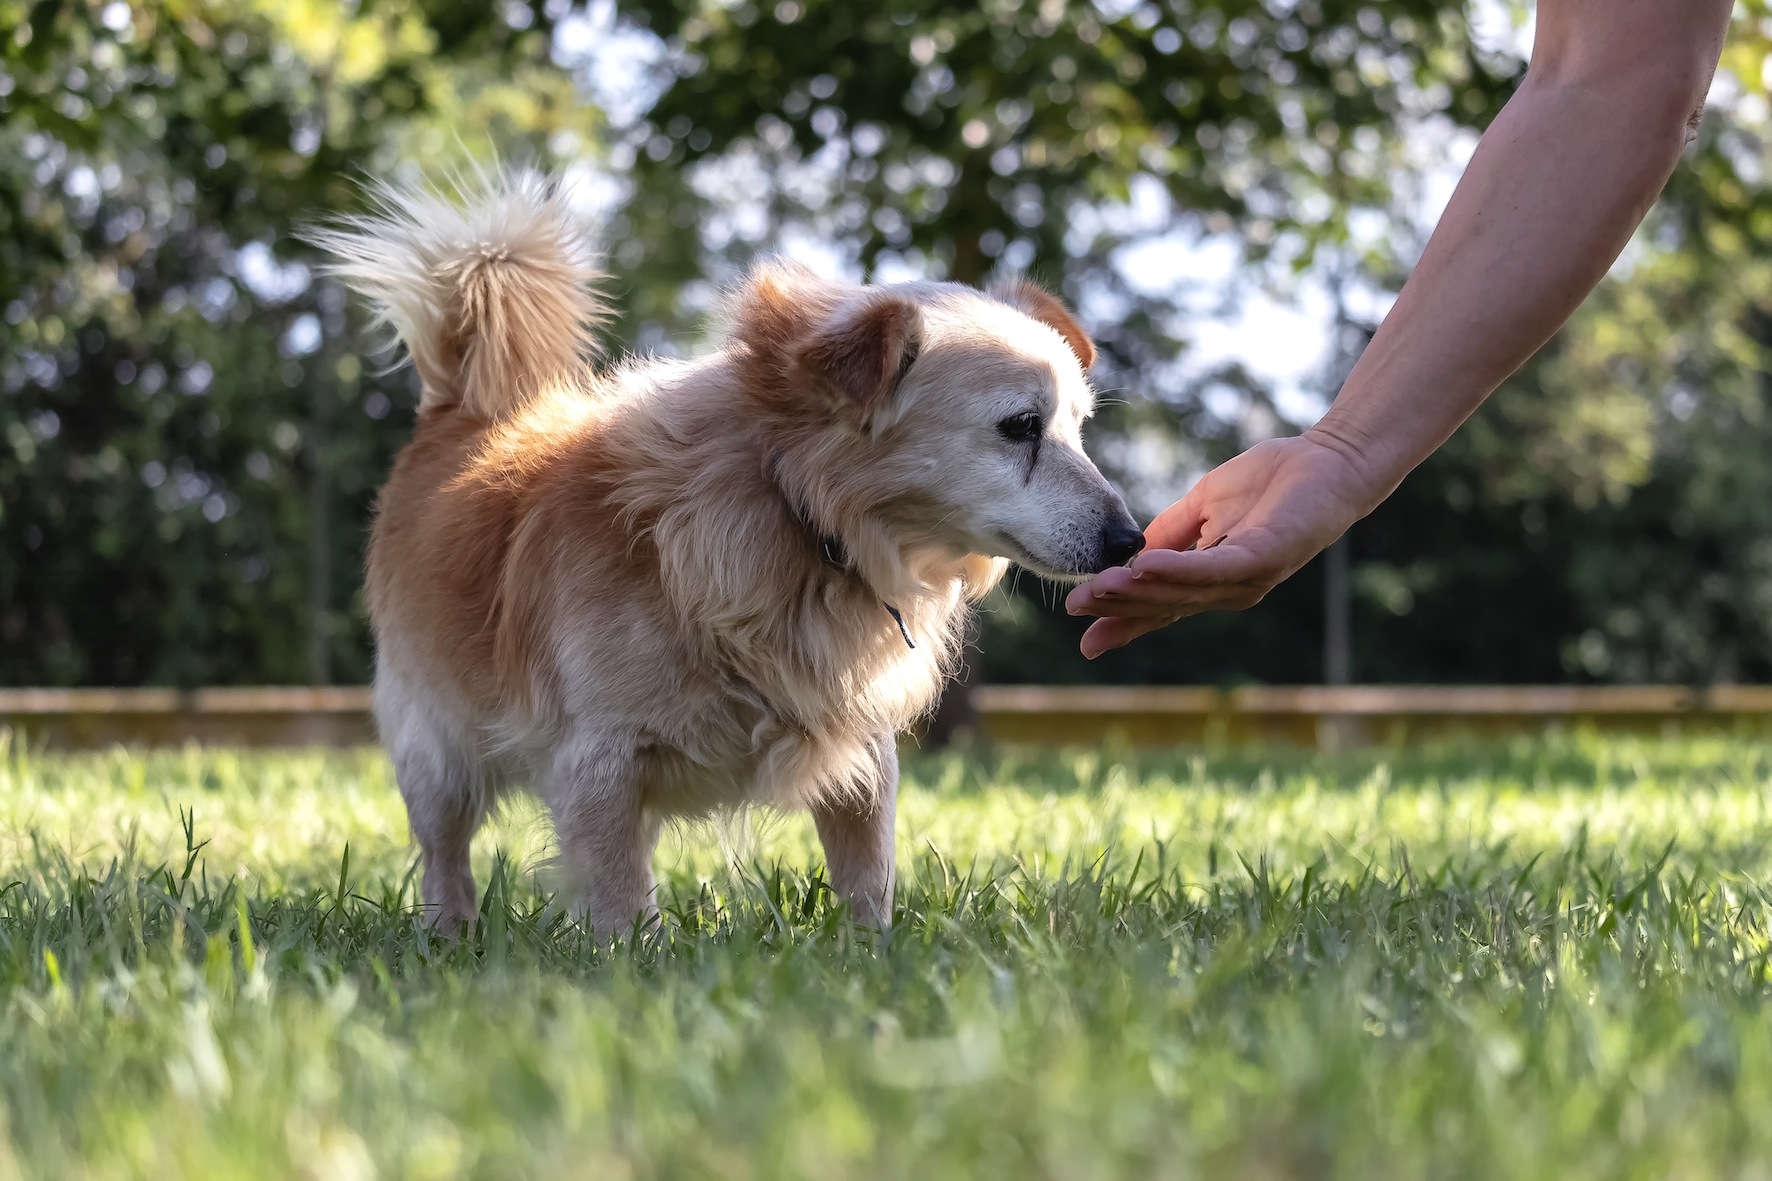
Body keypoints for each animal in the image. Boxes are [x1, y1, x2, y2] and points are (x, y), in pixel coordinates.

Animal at [315, 170, 1148, 936]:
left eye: (1078, 426)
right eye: (1020, 426)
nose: (1130, 539)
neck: (795, 510)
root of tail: (456, 409)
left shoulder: (862, 752)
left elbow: (869, 873)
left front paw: (872, 956)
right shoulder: (596, 763)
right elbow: (618, 901)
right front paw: (627, 970)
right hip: (436, 751)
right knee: (444, 855)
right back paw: (449, 935)